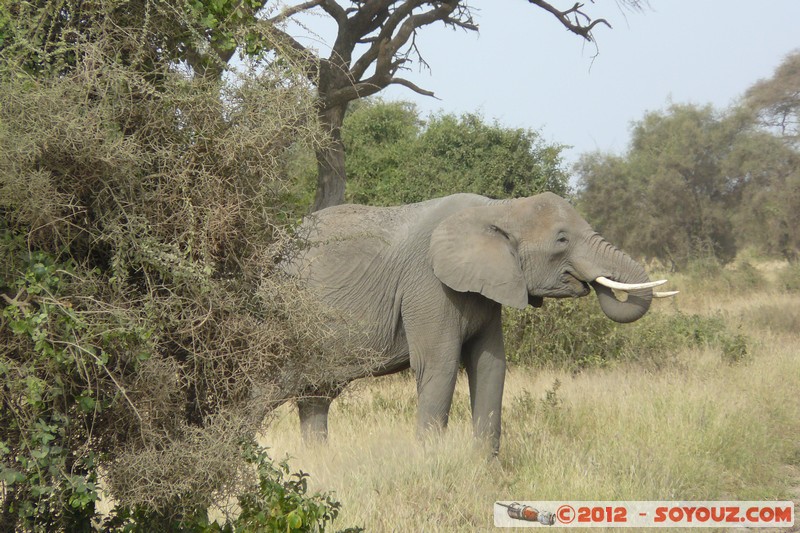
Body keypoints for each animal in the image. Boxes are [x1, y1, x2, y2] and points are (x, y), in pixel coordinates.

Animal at [284, 191, 672, 454]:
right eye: (562, 239)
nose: (593, 282)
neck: (499, 209)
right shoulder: (428, 285)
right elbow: (438, 367)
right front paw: (430, 465)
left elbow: (490, 366)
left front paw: (486, 469)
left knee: (315, 398)